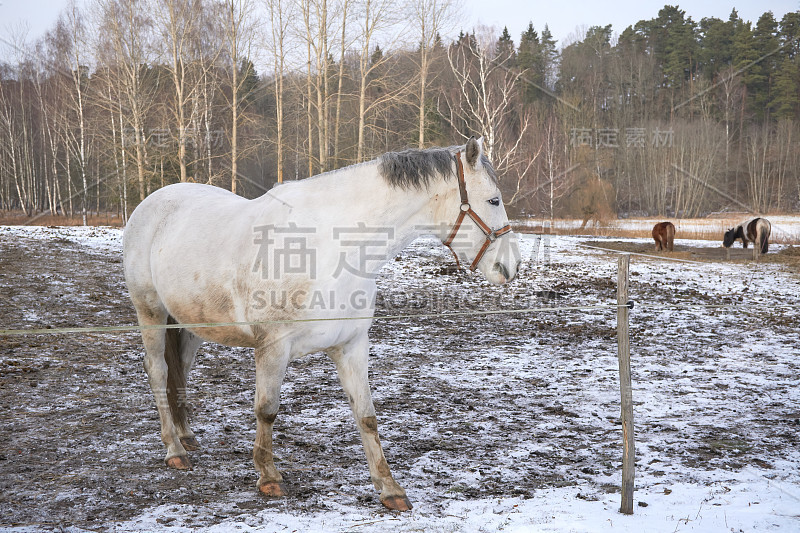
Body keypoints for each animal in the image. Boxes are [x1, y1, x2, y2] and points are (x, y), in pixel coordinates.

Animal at [122, 138, 520, 512]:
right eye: (494, 200)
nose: (511, 266)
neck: (329, 250)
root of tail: (151, 202)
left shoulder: (352, 345)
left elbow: (366, 415)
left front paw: (390, 489)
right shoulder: (272, 347)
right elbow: (266, 410)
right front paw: (269, 477)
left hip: (189, 324)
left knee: (180, 370)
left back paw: (186, 435)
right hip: (151, 313)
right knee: (158, 371)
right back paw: (174, 449)